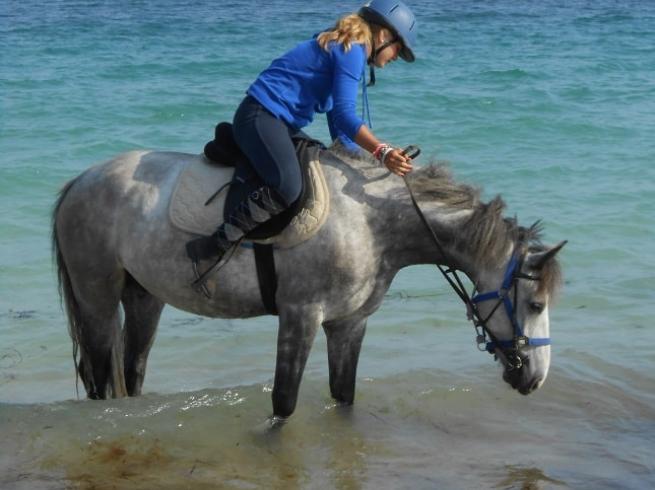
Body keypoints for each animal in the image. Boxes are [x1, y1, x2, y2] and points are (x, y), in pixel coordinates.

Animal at [51, 147, 568, 420]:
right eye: (536, 304)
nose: (537, 378)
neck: (372, 221)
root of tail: (81, 180)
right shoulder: (300, 316)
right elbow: (284, 401)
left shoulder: (348, 324)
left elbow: (344, 396)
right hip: (97, 300)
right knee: (98, 378)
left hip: (144, 298)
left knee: (132, 371)